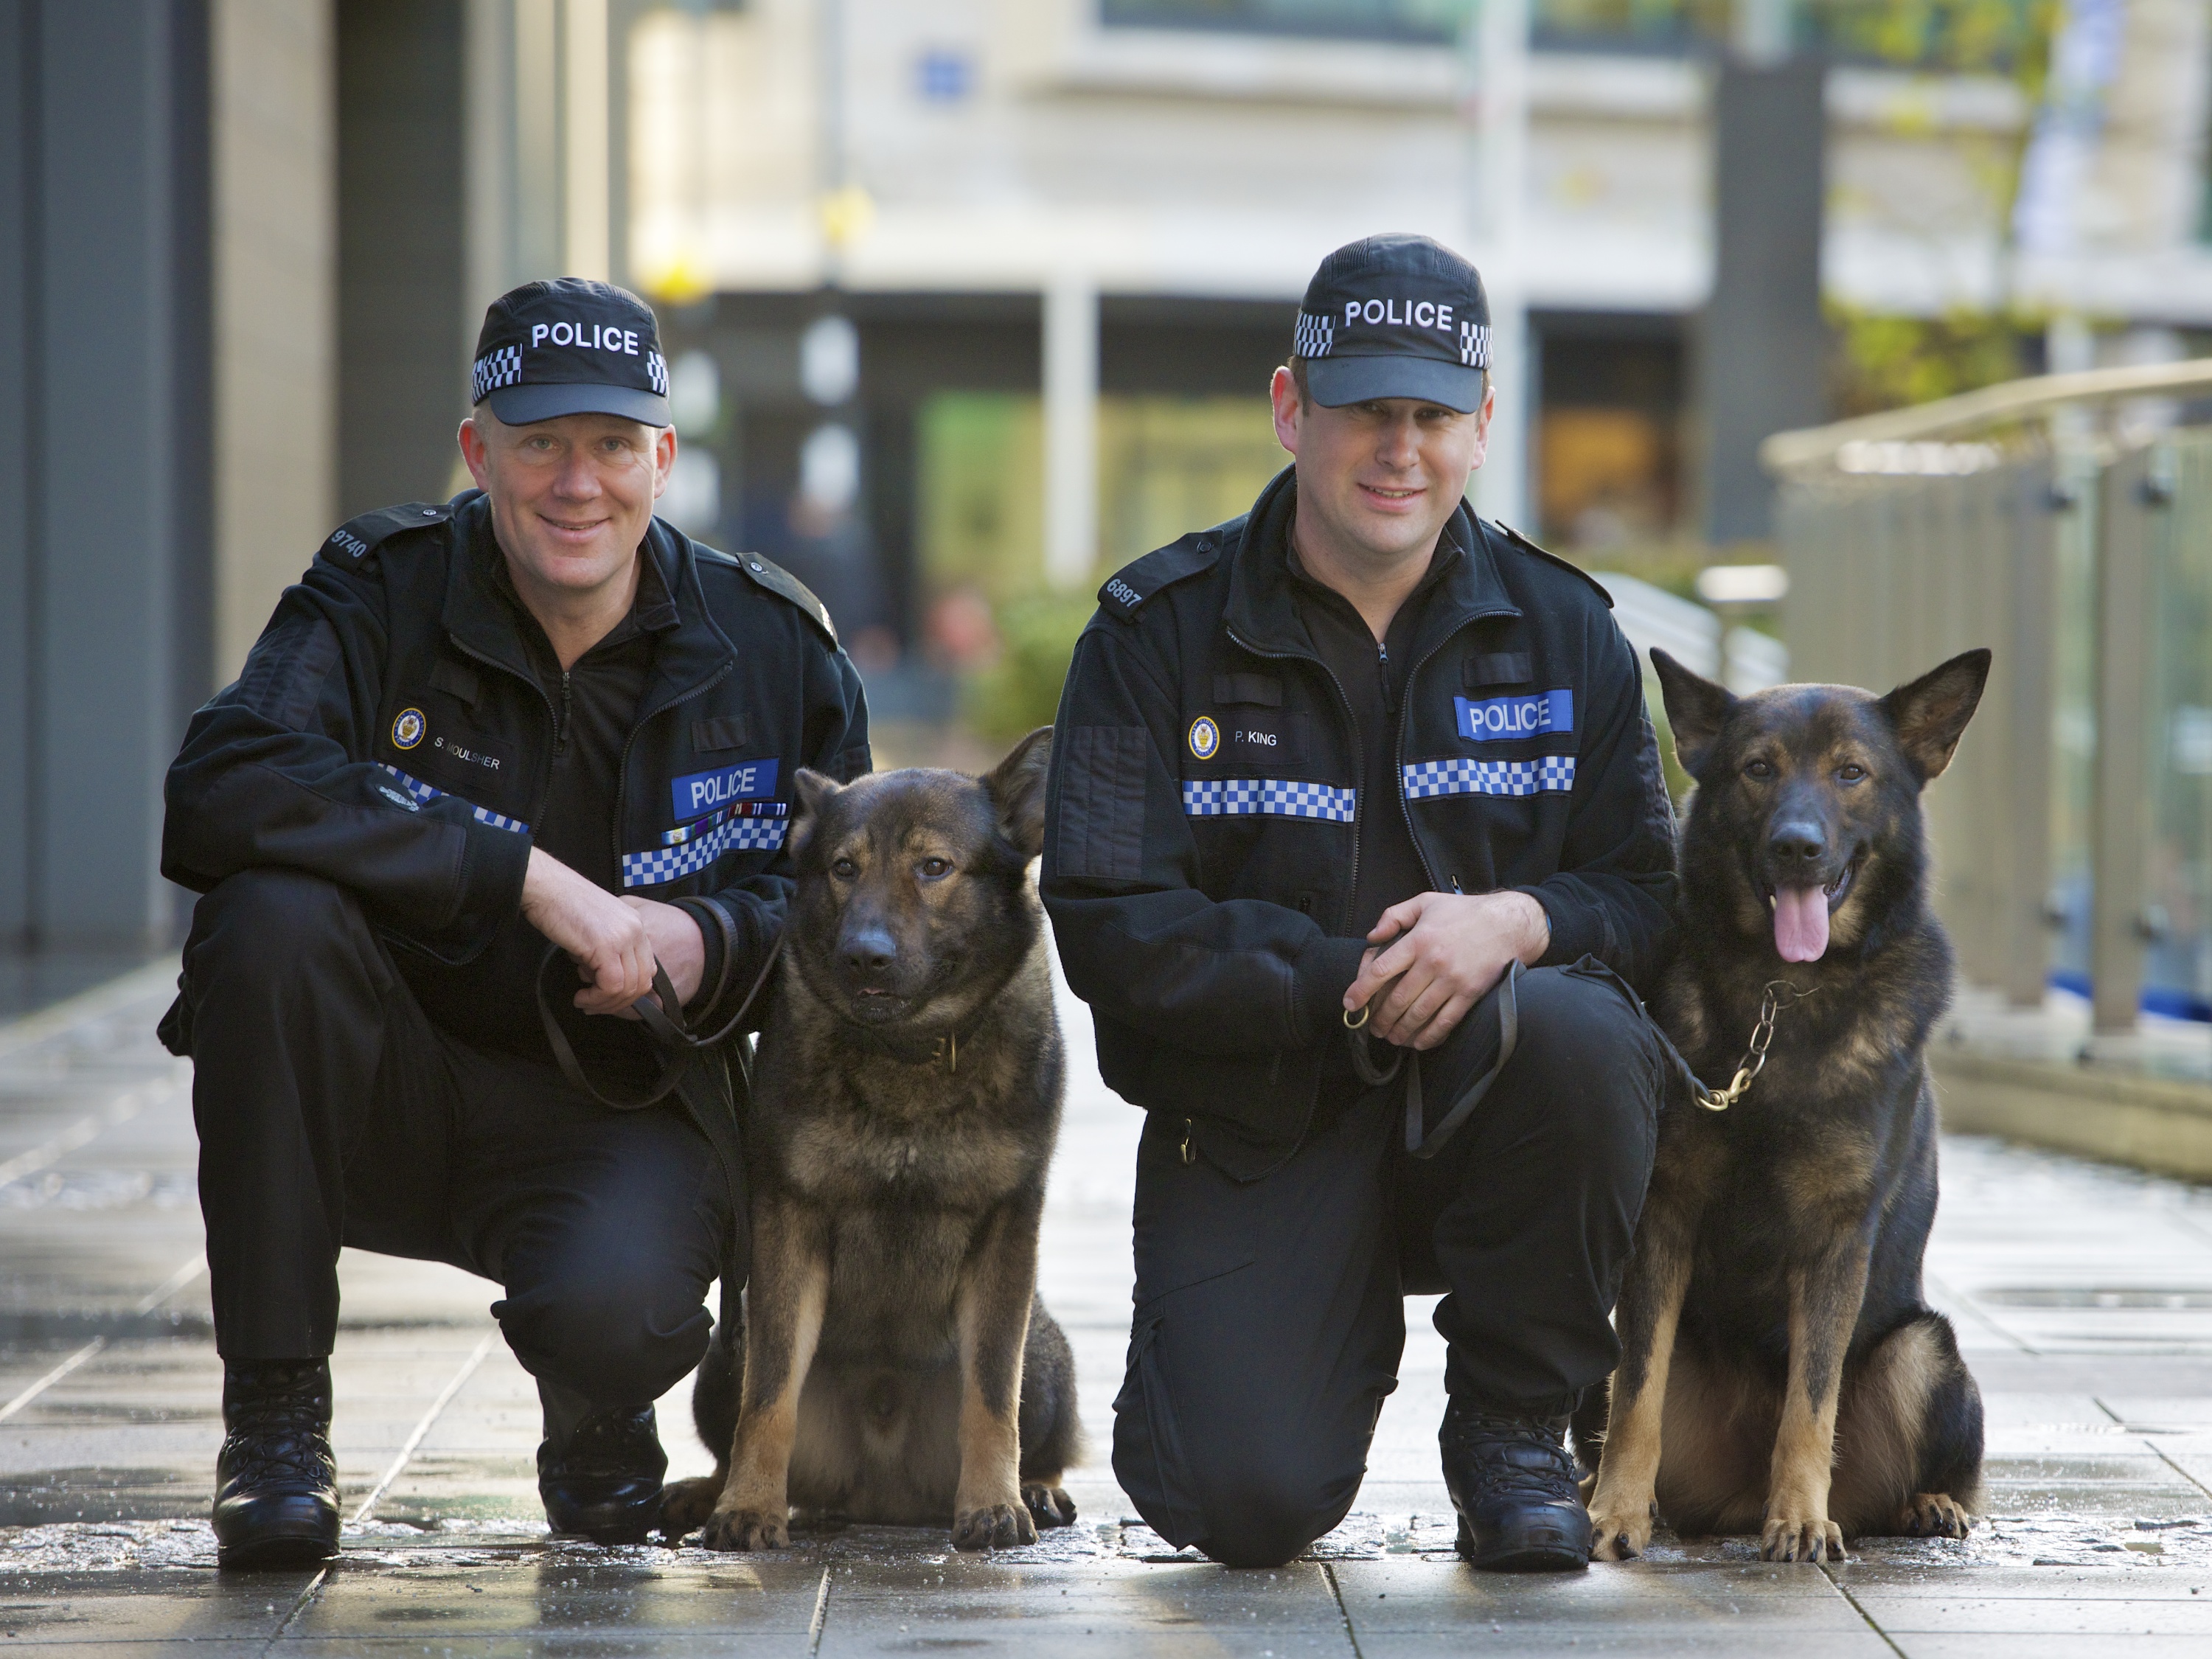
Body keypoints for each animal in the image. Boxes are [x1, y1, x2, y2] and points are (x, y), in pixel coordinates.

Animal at [655, 730, 1079, 1557]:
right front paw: (749, 1505)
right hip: (724, 1349)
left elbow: (991, 1394)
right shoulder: (787, 1232)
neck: (908, 1052)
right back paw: (708, 1492)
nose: (864, 956)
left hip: (1046, 1356)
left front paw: (993, 1503)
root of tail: (886, 1497)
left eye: (934, 867)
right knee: (739, 1421)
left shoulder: (1008, 1230)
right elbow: (770, 1397)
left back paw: (1036, 1491)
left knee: (1039, 1427)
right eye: (844, 869)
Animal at [1584, 655, 2000, 1575]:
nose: (1797, 848)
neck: (1785, 995)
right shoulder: (1663, 1223)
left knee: (1932, 1472)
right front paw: (1615, 1513)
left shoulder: (1837, 1240)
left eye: (1851, 772)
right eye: (1758, 769)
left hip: (1924, 1352)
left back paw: (1926, 1504)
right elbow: (1639, 1395)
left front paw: (1803, 1521)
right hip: (1599, 1364)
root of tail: (1737, 1498)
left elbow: (1811, 1399)